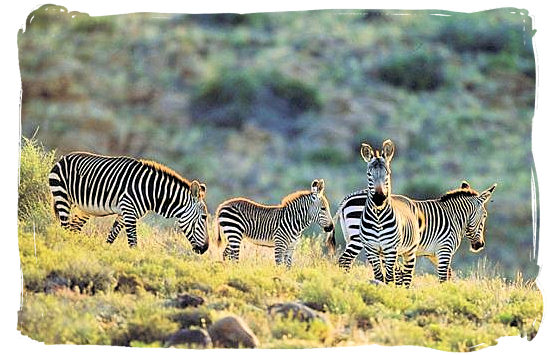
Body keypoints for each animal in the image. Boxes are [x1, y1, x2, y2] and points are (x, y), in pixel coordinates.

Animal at [48, 152, 209, 252]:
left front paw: (105, 251)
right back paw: (64, 247)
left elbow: (112, 236)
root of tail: (63, 157)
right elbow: (133, 242)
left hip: (83, 209)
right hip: (62, 195)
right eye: (204, 217)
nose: (206, 249)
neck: (150, 191)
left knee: (72, 228)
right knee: (64, 226)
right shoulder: (129, 211)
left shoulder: (125, 213)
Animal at [332, 181, 500, 284]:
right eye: (485, 216)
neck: (453, 217)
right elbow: (443, 277)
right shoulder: (444, 249)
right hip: (359, 238)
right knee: (345, 260)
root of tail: (348, 198)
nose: (480, 245)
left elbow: (448, 274)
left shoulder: (433, 254)